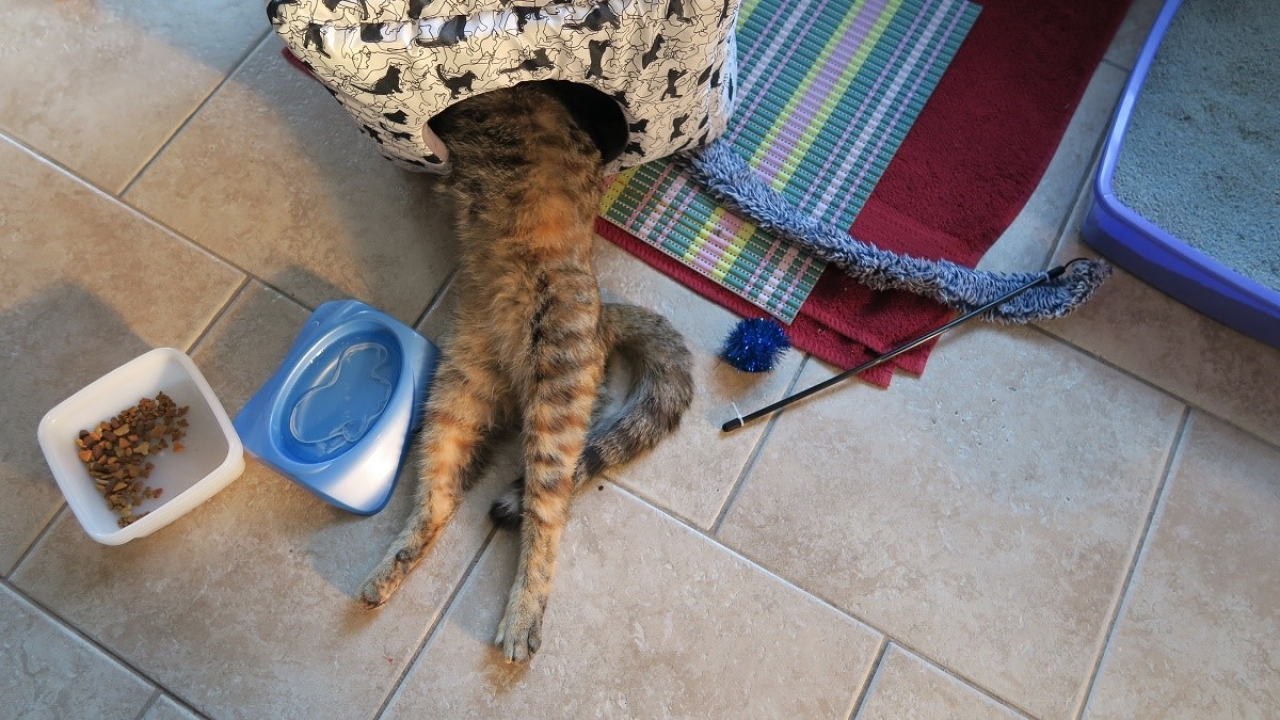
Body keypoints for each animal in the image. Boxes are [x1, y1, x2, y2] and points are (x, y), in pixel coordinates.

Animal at [357, 81, 695, 664]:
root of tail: (604, 317)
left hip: (551, 414)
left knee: (545, 523)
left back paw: (520, 623)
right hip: (454, 395)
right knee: (439, 499)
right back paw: (387, 574)